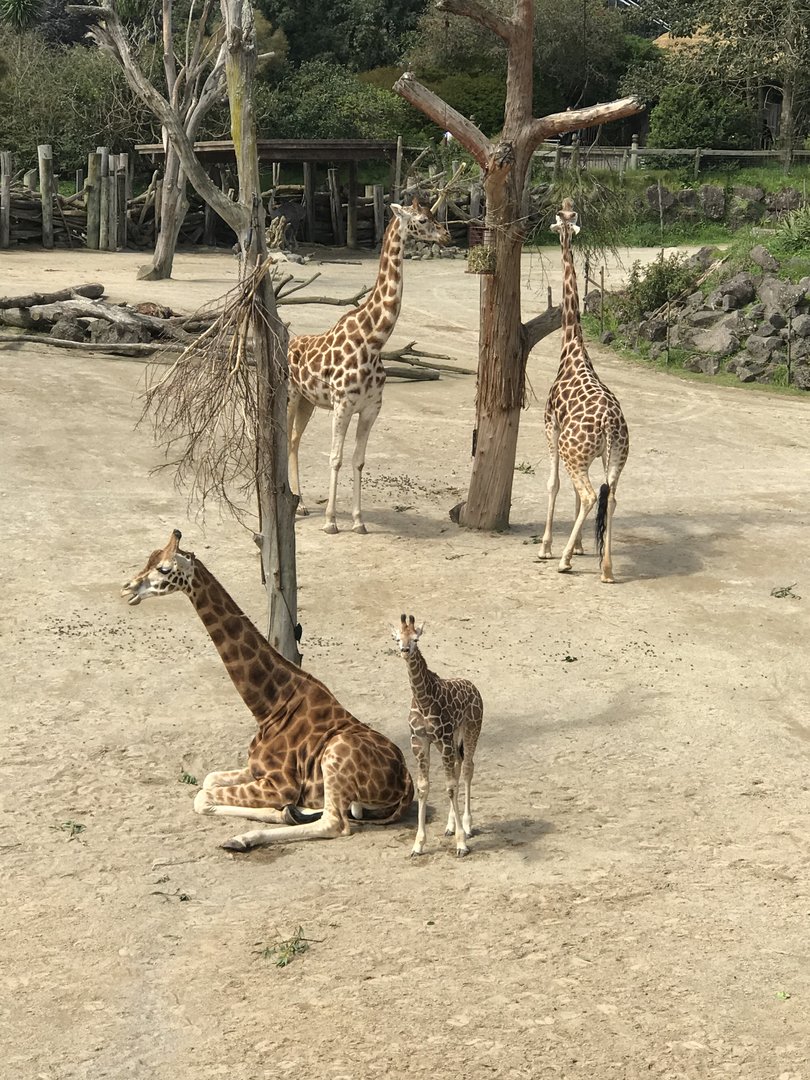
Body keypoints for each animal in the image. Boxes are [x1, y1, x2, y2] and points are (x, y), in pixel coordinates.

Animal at [121, 529, 414, 851]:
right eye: (149, 559)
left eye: (164, 569)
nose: (127, 588)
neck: (269, 706)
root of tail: (406, 781)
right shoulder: (254, 769)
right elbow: (209, 780)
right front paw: (286, 812)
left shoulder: (280, 784)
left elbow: (202, 796)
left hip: (335, 755)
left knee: (334, 823)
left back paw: (244, 837)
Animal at [287, 198, 450, 535]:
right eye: (421, 219)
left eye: (433, 214)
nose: (446, 236)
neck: (373, 341)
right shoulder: (342, 405)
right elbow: (335, 458)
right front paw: (331, 521)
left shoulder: (371, 408)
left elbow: (358, 460)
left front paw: (358, 521)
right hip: (289, 394)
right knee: (282, 439)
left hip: (308, 401)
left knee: (295, 441)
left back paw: (302, 504)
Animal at [393, 615, 483, 857]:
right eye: (398, 638)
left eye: (415, 639)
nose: (405, 650)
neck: (424, 700)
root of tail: (473, 687)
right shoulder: (419, 740)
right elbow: (424, 787)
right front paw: (418, 845)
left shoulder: (443, 738)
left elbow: (450, 786)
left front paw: (461, 843)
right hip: (451, 740)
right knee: (459, 765)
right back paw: (450, 826)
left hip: (471, 729)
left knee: (467, 768)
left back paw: (467, 826)